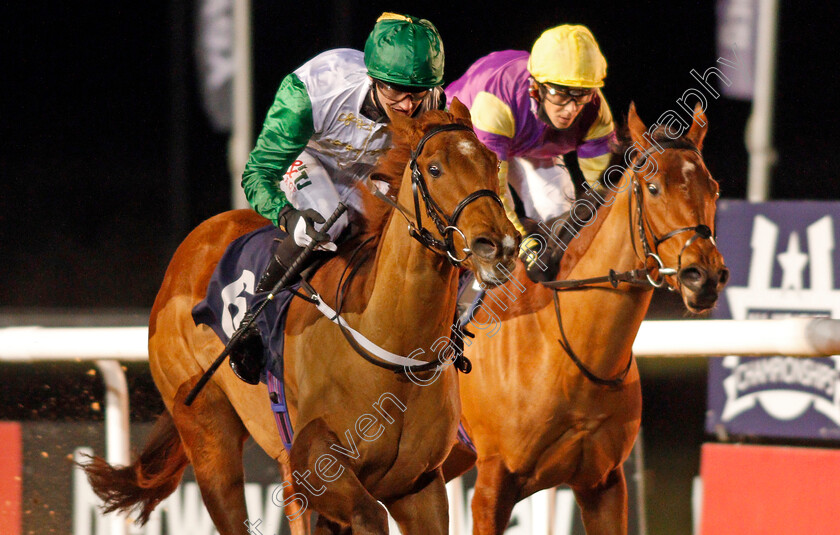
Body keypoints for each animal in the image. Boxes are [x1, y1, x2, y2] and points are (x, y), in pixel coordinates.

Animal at [83, 99, 520, 532]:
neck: (395, 355)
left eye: (492, 161)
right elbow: (369, 514)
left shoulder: (420, 486)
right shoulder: (313, 464)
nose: (498, 245)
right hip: (206, 431)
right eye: (434, 168)